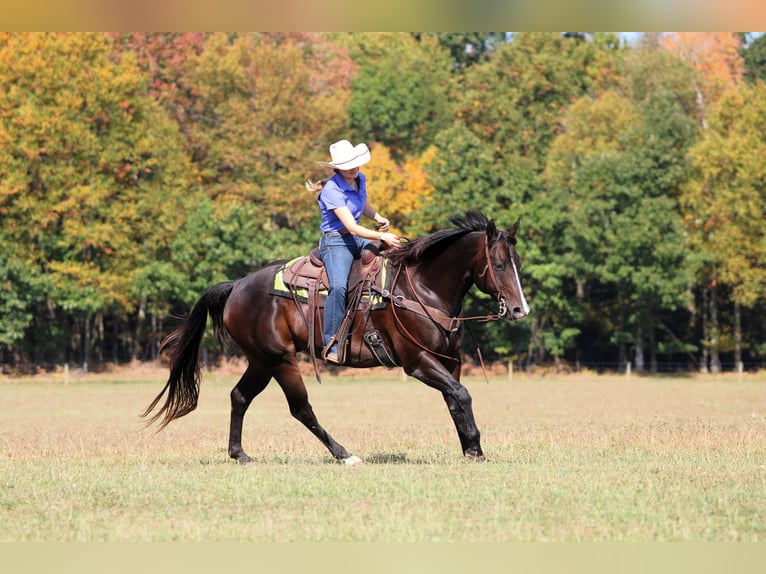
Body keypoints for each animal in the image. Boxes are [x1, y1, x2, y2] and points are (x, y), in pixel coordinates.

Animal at [143, 210, 530, 465]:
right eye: (498, 265)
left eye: (519, 263)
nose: (519, 309)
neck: (421, 288)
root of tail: (237, 286)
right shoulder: (417, 363)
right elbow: (462, 395)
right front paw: (475, 447)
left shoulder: (451, 360)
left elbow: (455, 400)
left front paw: (471, 449)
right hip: (280, 360)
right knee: (301, 408)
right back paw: (344, 454)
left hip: (261, 360)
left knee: (239, 397)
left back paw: (240, 454)